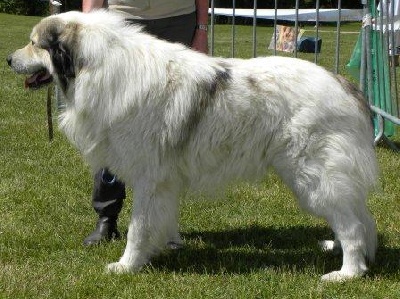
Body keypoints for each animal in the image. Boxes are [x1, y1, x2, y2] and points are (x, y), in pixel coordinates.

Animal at [7, 9, 380, 282]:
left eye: (34, 43)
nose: (9, 59)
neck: (98, 68)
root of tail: (345, 84)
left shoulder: (149, 178)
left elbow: (137, 228)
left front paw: (127, 266)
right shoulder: (164, 181)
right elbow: (160, 219)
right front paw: (164, 248)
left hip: (313, 174)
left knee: (352, 223)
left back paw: (347, 273)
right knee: (355, 216)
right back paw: (340, 250)